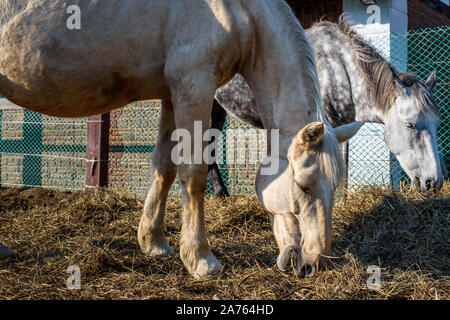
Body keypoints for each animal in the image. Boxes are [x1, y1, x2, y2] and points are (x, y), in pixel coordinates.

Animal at [0, 0, 360, 278]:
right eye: (304, 186)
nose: (313, 264)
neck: (239, 9)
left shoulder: (172, 93)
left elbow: (165, 166)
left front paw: (154, 242)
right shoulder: (195, 84)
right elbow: (194, 173)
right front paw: (201, 259)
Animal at [207, 20, 442, 196]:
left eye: (436, 125)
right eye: (410, 125)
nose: (434, 182)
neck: (338, 68)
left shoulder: (342, 128)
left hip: (217, 110)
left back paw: (221, 195)